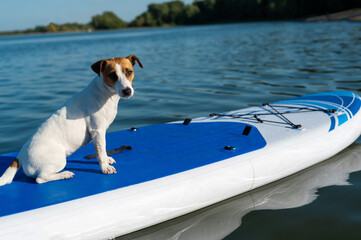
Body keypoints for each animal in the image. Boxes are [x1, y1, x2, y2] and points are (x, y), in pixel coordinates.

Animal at [0, 54, 143, 186]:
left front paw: (107, 160)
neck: (105, 92)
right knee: (40, 179)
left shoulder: (99, 133)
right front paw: (105, 168)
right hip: (58, 160)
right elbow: (101, 151)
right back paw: (64, 174)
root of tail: (20, 155)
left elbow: (101, 151)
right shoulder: (97, 131)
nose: (127, 91)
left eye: (129, 71)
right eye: (112, 75)